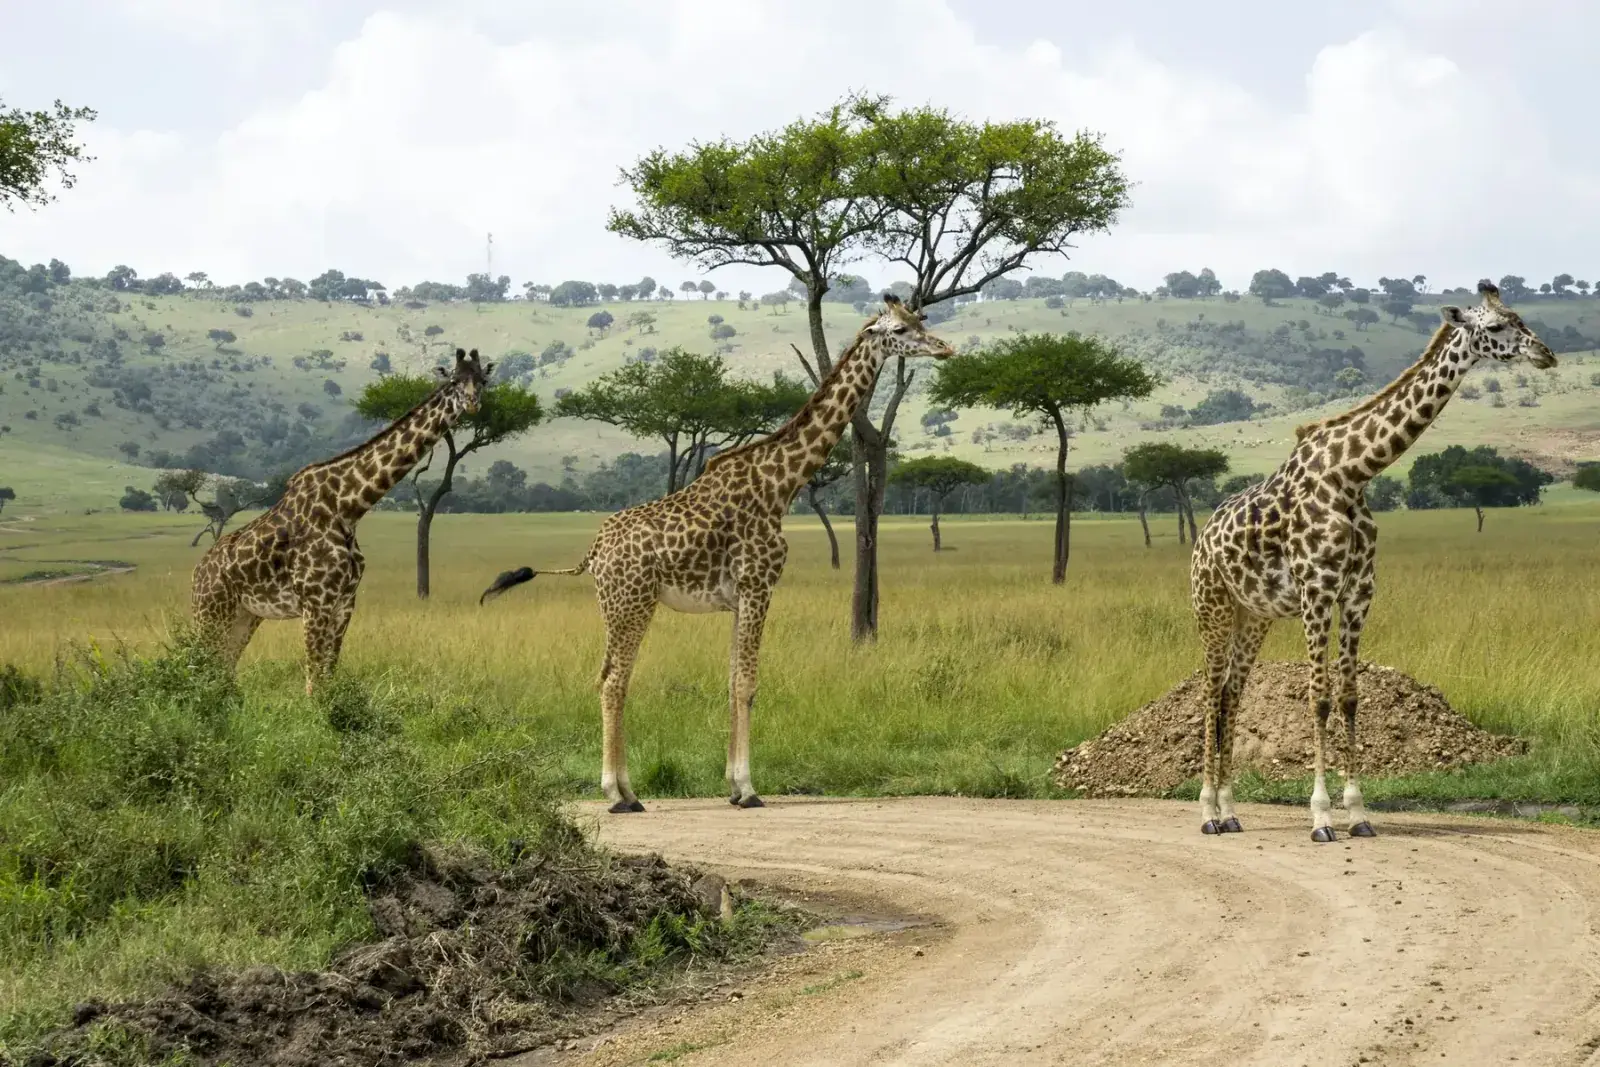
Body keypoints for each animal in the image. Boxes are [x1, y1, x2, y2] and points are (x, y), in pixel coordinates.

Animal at [191, 348, 493, 693]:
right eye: (454, 381)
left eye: (482, 380)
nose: (472, 403)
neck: (348, 507)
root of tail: (197, 574)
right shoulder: (315, 602)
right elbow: (313, 683)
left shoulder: (345, 602)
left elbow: (328, 678)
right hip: (210, 612)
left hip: (245, 615)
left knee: (222, 670)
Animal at [480, 295, 954, 812]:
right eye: (900, 329)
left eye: (918, 320)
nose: (945, 347)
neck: (781, 485)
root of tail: (594, 551)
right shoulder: (758, 585)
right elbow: (748, 683)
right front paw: (748, 789)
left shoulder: (739, 597)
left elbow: (731, 681)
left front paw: (731, 785)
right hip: (631, 603)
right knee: (613, 681)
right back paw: (617, 793)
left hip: (616, 606)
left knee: (607, 677)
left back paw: (631, 791)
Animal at [1188, 281, 1555, 842]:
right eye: (1495, 327)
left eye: (1521, 318)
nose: (1546, 354)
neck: (1353, 474)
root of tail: (1201, 539)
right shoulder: (1317, 590)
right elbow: (1317, 697)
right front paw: (1320, 817)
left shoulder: (1359, 592)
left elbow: (1349, 697)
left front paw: (1358, 813)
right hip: (1212, 605)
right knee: (1210, 692)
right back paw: (1207, 812)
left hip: (1254, 616)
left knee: (1231, 692)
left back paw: (1231, 811)